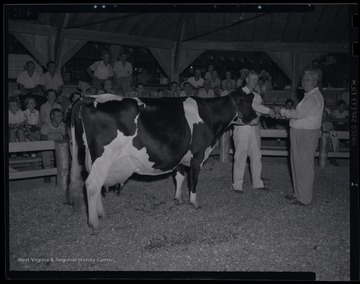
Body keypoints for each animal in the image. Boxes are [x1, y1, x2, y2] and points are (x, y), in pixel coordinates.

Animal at [68, 89, 256, 229]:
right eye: (249, 103)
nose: (256, 117)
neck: (208, 115)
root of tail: (90, 98)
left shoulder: (180, 156)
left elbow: (180, 177)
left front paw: (178, 199)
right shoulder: (198, 155)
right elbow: (193, 180)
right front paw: (194, 202)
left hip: (94, 160)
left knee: (97, 184)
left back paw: (101, 214)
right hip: (103, 158)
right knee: (92, 184)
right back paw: (94, 222)